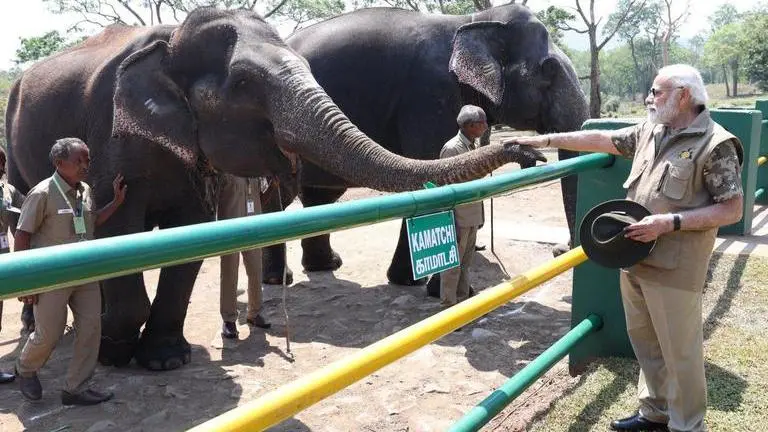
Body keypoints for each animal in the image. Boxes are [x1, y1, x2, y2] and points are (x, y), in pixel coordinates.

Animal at [5, 7, 544, 370]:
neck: (171, 39)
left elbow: (190, 237)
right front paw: (117, 353)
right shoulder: (110, 136)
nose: (528, 151)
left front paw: (164, 359)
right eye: (244, 84)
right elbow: (117, 227)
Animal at [258, 4, 590, 287]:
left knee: (320, 193)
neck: (473, 20)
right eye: (549, 69)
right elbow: (428, 169)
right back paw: (277, 279)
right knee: (280, 196)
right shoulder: (429, 95)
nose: (560, 250)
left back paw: (325, 266)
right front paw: (412, 282)